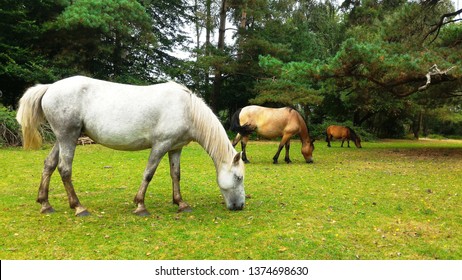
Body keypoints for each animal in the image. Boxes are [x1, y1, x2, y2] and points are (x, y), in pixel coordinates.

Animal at [14, 75, 245, 215]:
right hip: (67, 137)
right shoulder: (160, 145)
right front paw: (140, 205)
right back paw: (78, 207)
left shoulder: (175, 148)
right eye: (238, 177)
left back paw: (45, 204)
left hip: (63, 139)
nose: (239, 206)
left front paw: (180, 203)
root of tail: (50, 87)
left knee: (49, 165)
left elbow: (175, 175)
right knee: (64, 169)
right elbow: (149, 173)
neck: (186, 108)